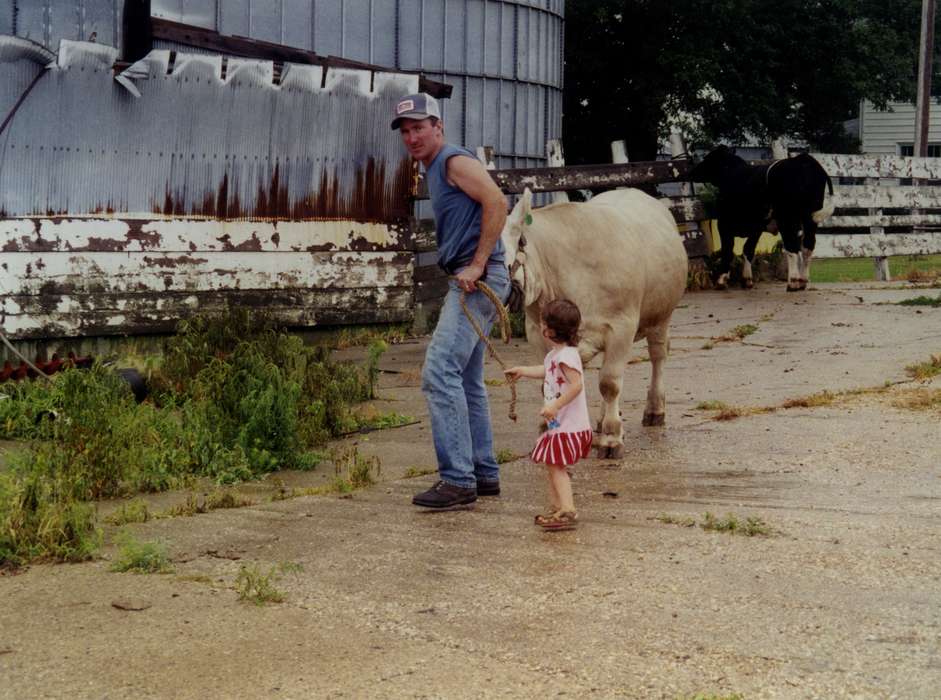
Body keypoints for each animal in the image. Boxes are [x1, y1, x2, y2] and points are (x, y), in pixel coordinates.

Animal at [688, 146, 832, 292]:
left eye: (707, 158)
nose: (691, 172)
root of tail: (804, 161)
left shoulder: (724, 224)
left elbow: (727, 251)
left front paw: (721, 280)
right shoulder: (756, 229)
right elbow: (748, 250)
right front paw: (747, 280)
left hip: (787, 220)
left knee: (792, 248)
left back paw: (793, 282)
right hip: (810, 220)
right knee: (807, 247)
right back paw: (802, 281)